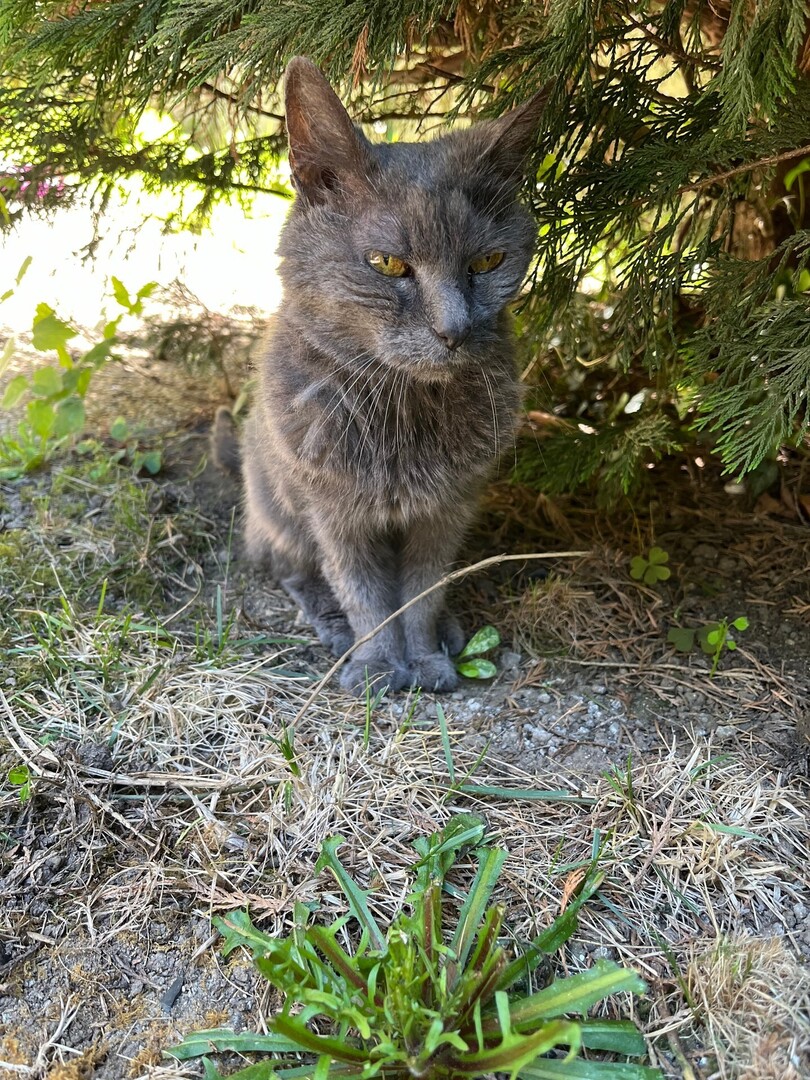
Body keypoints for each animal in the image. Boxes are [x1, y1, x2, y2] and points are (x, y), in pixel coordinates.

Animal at [217, 59, 546, 695]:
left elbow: (421, 591)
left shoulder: (449, 508)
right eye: (387, 263)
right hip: (277, 506)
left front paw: (426, 660)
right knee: (287, 566)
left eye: (488, 262)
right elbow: (364, 591)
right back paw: (334, 629)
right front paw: (375, 665)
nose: (454, 328)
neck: (405, 408)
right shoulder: (332, 508)